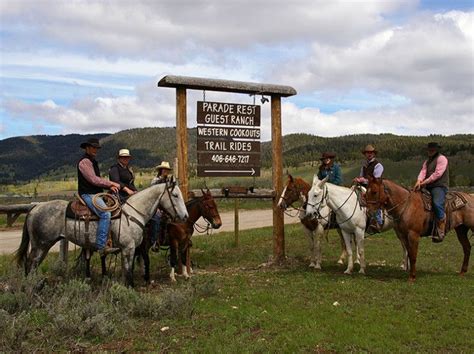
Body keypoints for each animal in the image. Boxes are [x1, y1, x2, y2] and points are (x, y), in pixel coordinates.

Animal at [17, 180, 187, 288]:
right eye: (175, 195)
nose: (185, 216)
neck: (133, 213)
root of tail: (35, 208)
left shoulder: (130, 249)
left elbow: (128, 268)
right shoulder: (129, 248)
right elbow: (128, 270)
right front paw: (130, 287)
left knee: (31, 264)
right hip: (41, 245)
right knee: (31, 264)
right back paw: (32, 287)